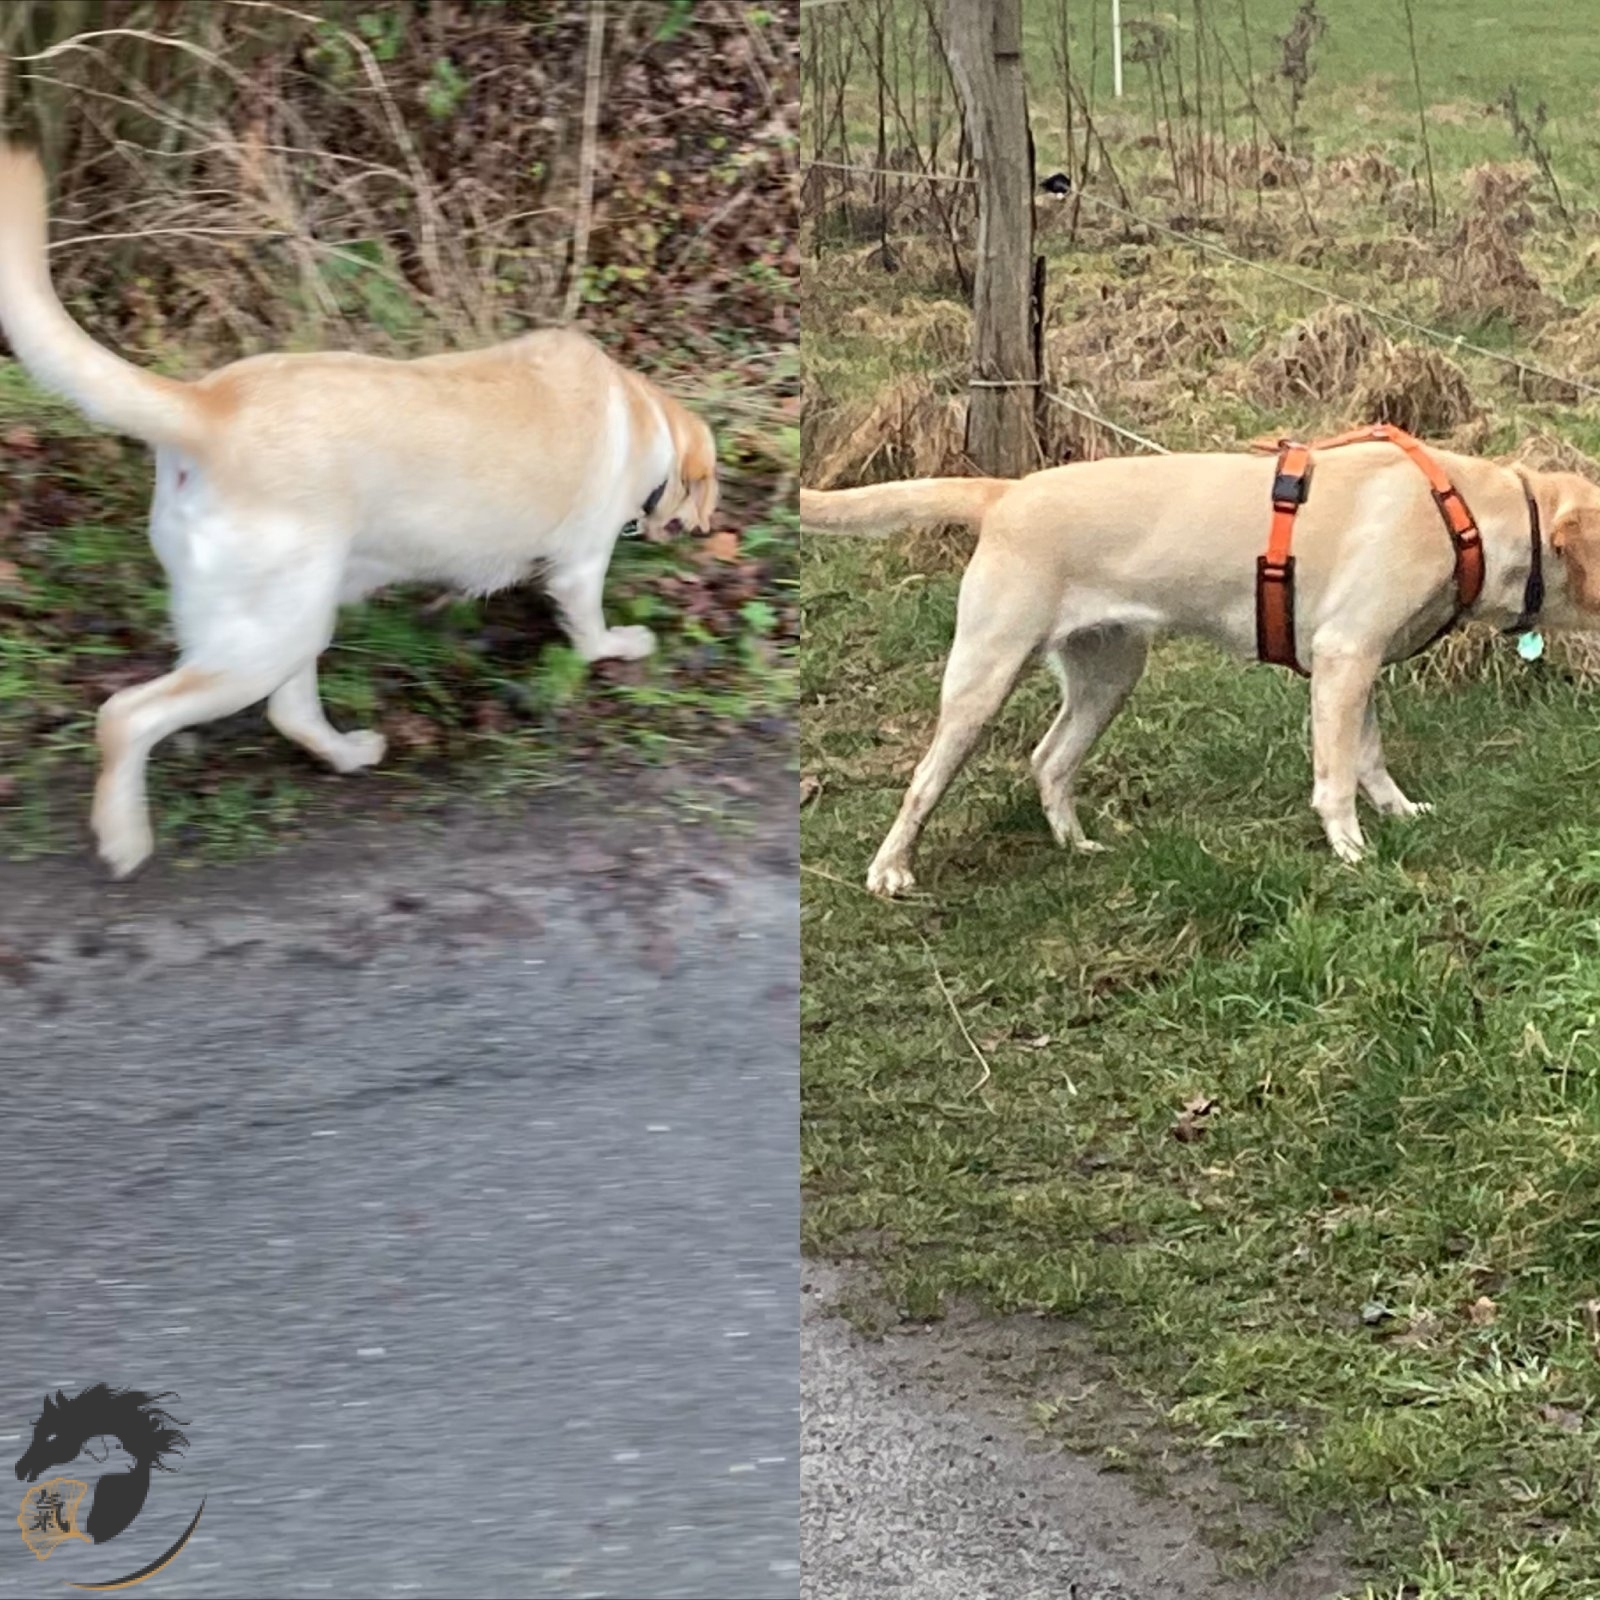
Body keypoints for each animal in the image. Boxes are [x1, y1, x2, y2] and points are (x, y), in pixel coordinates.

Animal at [0, 148, 716, 876]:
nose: (703, 528)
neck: (645, 415)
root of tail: (207, 405)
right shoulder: (582, 567)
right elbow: (591, 630)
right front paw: (623, 645)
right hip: (261, 642)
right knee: (126, 715)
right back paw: (124, 837)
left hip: (295, 619)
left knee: (289, 712)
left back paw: (346, 753)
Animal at [806, 432, 1600, 896]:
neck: (1470, 514)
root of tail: (1006, 492)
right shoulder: (1346, 655)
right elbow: (1336, 778)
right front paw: (1349, 848)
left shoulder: (1355, 666)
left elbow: (1369, 758)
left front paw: (1399, 812)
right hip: (985, 677)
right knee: (924, 781)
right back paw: (890, 869)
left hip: (1109, 675)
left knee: (1048, 760)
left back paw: (1076, 843)